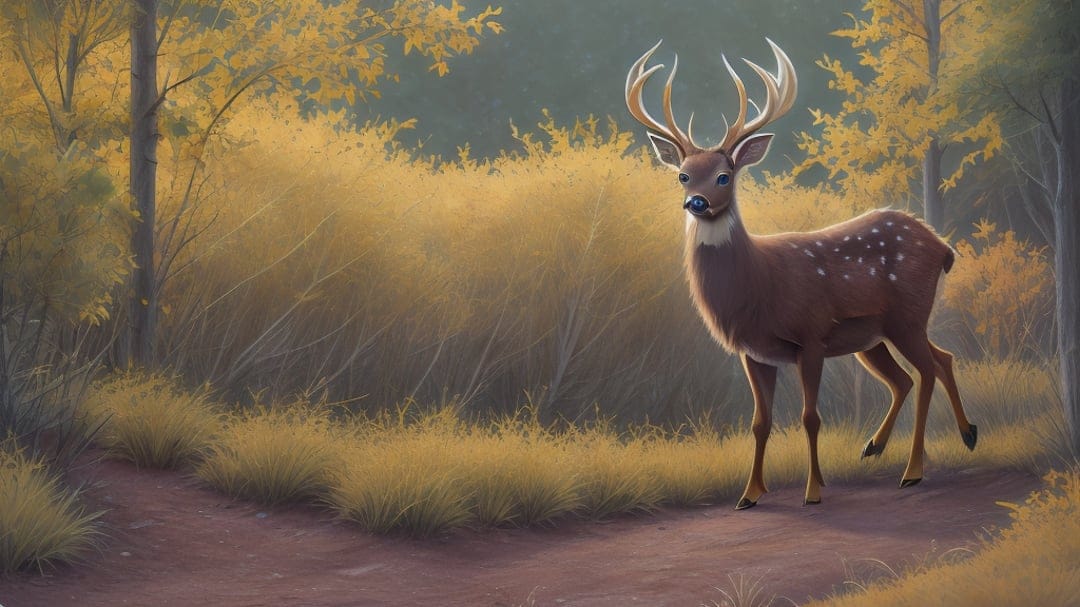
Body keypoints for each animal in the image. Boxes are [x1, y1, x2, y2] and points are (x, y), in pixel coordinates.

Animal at [625, 40, 978, 509]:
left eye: (724, 176)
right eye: (683, 175)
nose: (696, 203)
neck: (759, 286)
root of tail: (943, 248)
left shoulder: (810, 336)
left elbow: (811, 417)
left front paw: (812, 492)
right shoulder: (754, 353)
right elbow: (760, 422)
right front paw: (750, 494)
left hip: (908, 315)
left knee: (928, 369)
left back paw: (914, 469)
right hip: (872, 337)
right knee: (923, 369)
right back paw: (901, 442)